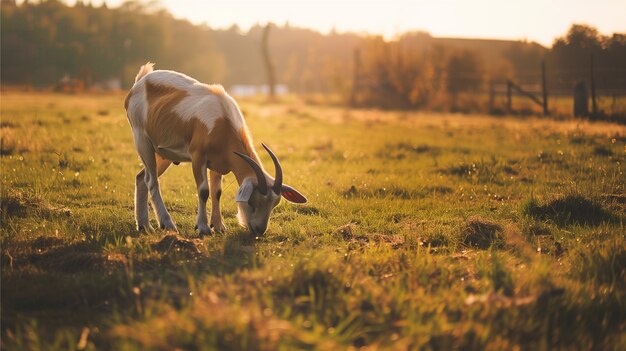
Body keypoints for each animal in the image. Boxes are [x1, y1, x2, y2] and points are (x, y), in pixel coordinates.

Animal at [123, 62, 304, 236]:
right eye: (253, 201)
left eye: (274, 204)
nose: (259, 230)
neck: (222, 119)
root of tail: (141, 80)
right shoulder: (198, 157)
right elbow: (204, 191)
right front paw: (203, 227)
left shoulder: (217, 162)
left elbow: (217, 191)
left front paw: (218, 226)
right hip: (143, 141)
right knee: (151, 181)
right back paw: (167, 224)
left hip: (163, 154)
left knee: (141, 178)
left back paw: (145, 226)